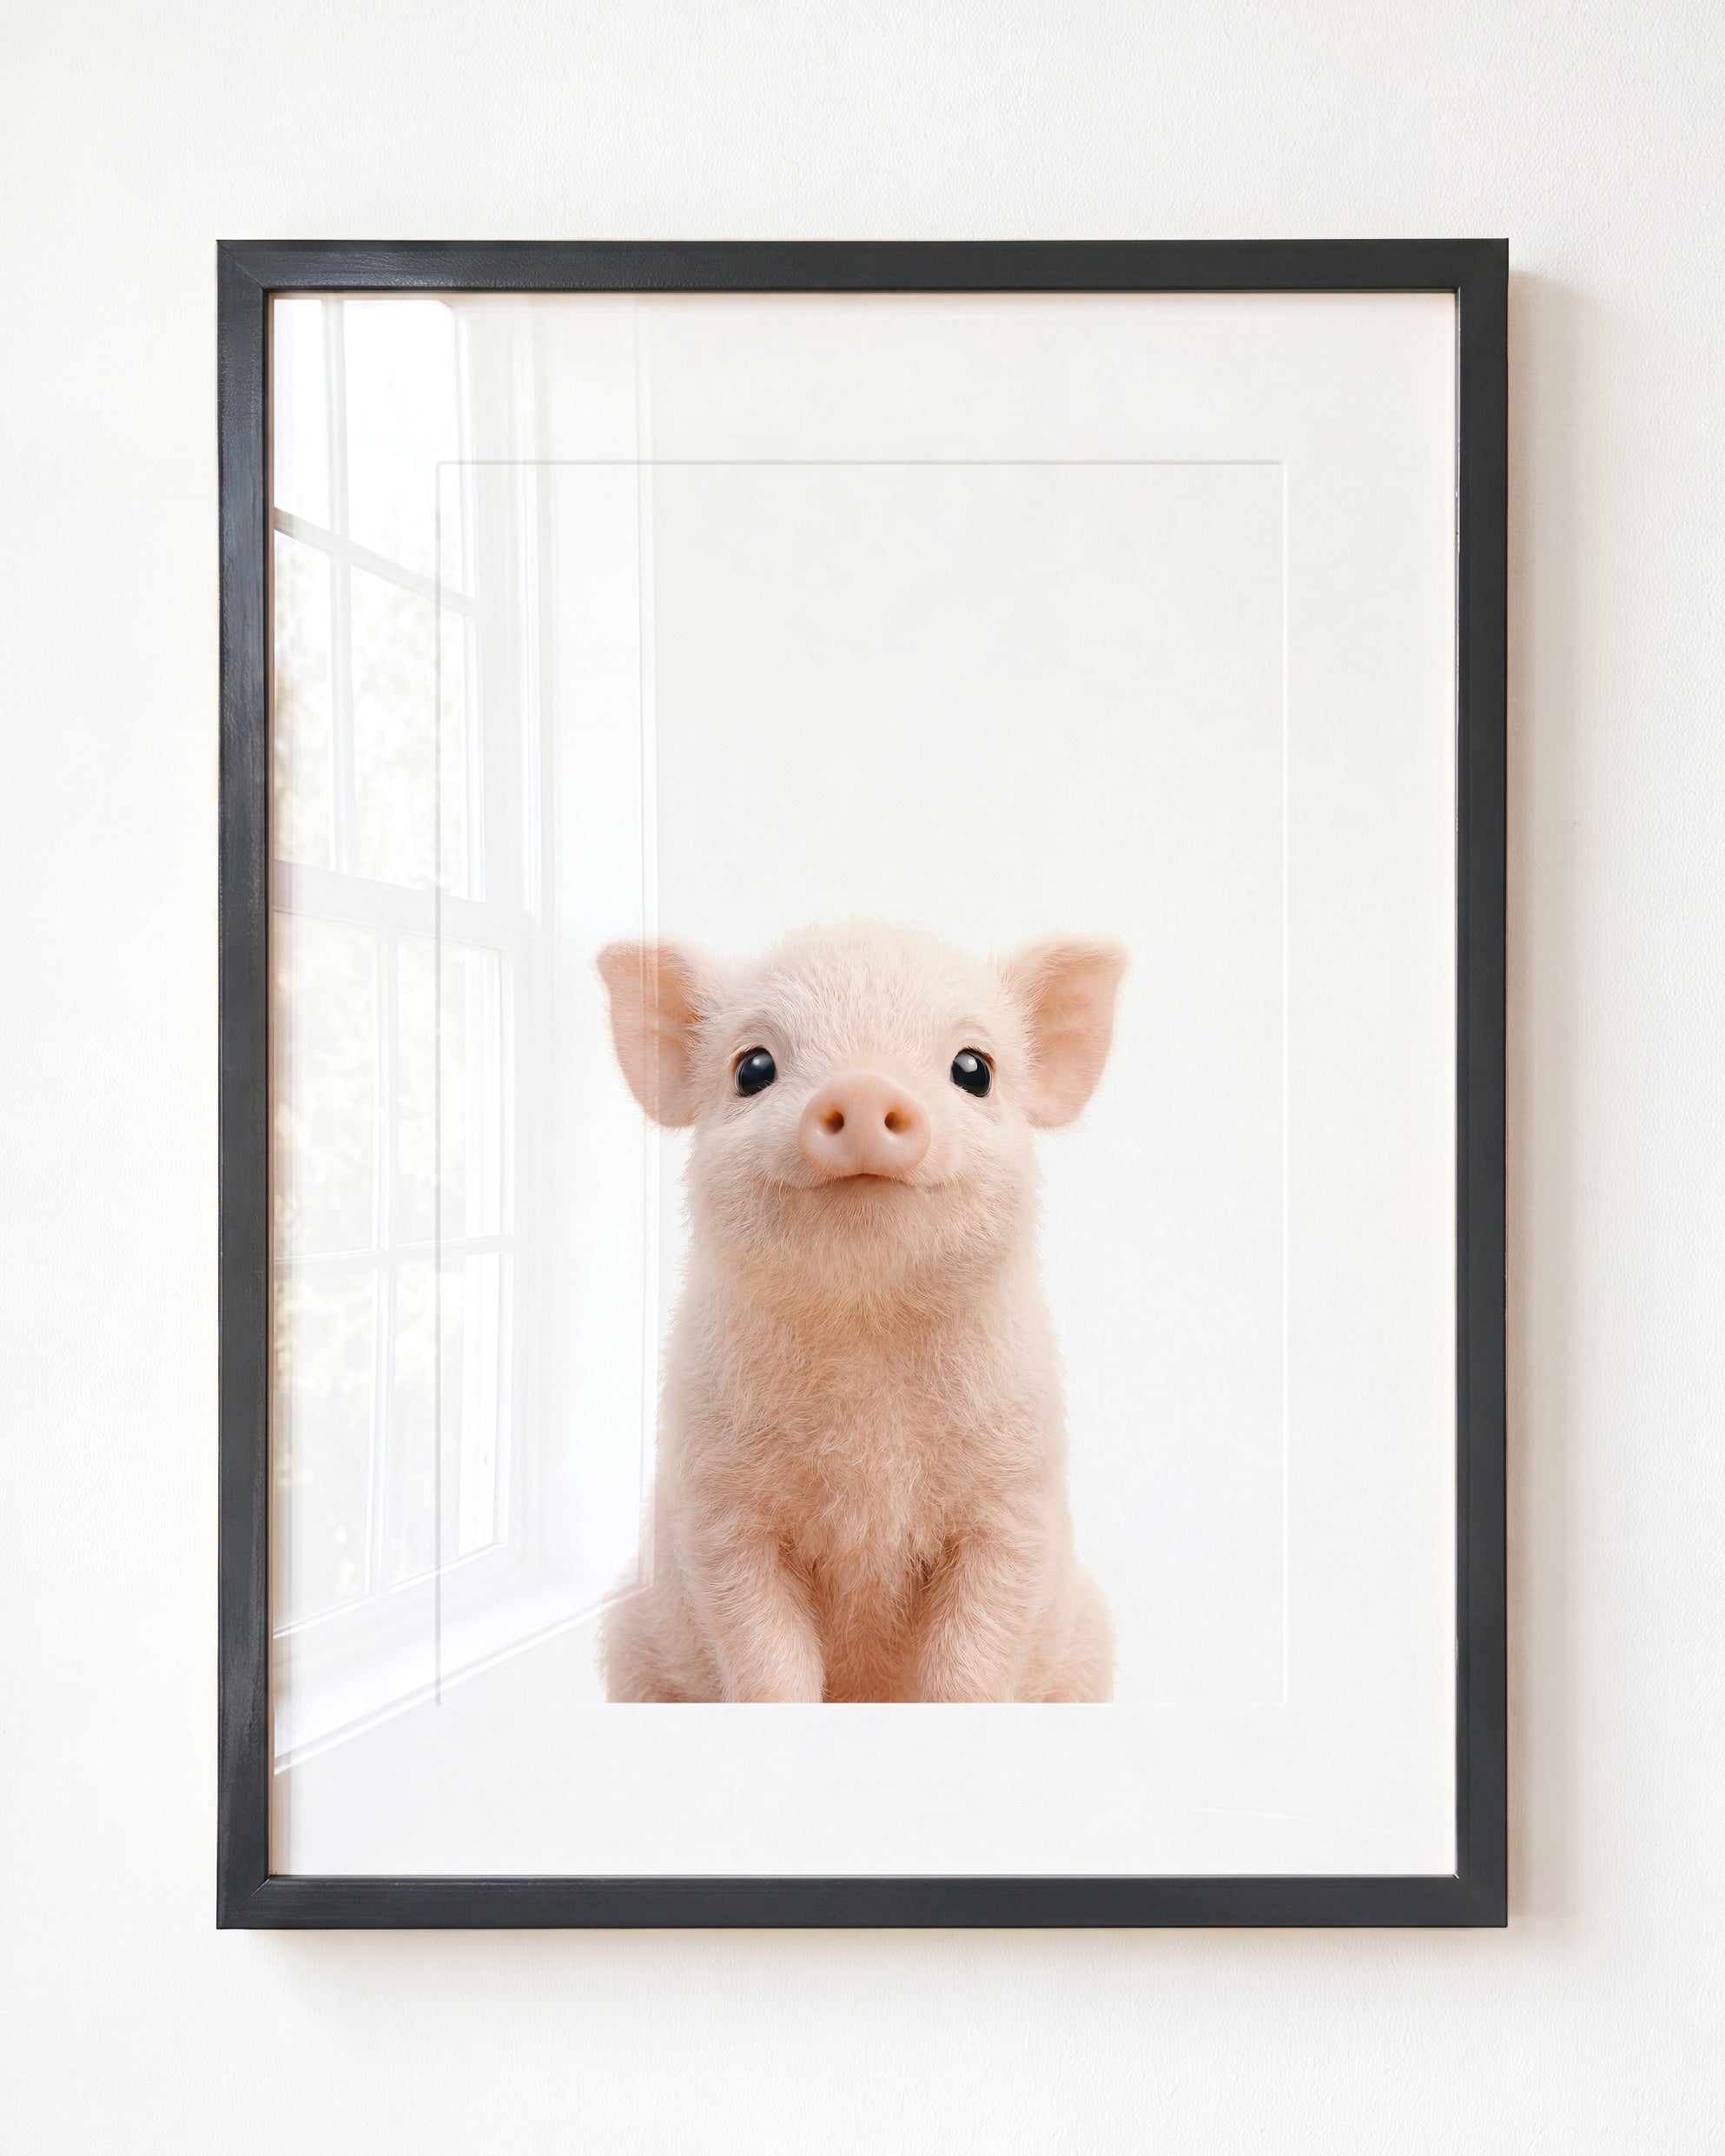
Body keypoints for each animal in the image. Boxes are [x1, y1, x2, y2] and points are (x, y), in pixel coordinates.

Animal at [594, 919, 1126, 1703]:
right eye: (753, 1067)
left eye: (975, 1069)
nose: (865, 1084)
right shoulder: (719, 1514)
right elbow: (768, 1661)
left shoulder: (1014, 1503)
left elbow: (970, 1664)